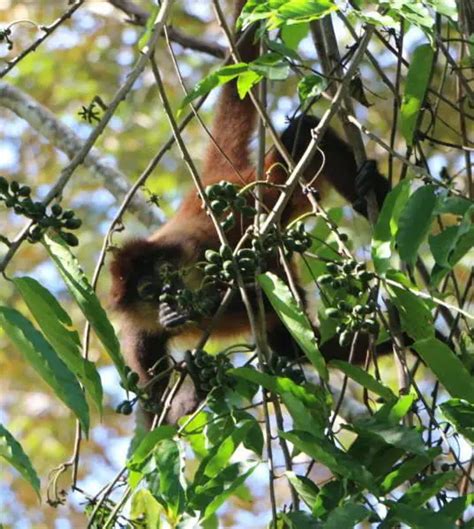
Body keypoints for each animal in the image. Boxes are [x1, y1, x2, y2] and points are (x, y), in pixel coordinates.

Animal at [109, 0, 390, 422]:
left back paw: (373, 193)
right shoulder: (138, 334)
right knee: (294, 346)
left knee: (302, 132)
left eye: (167, 271)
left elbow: (255, 291)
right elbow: (155, 406)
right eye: (148, 289)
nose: (171, 293)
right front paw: (186, 381)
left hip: (264, 189)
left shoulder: (205, 247)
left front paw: (191, 311)